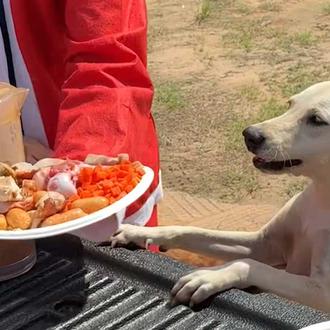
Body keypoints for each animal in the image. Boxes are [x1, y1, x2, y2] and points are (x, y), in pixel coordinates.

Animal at [110, 82, 330, 312]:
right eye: (290, 104)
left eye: (317, 120)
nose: (249, 134)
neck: (322, 196)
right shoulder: (261, 243)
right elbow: (191, 232)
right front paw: (139, 231)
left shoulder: (322, 291)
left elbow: (250, 264)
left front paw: (209, 277)